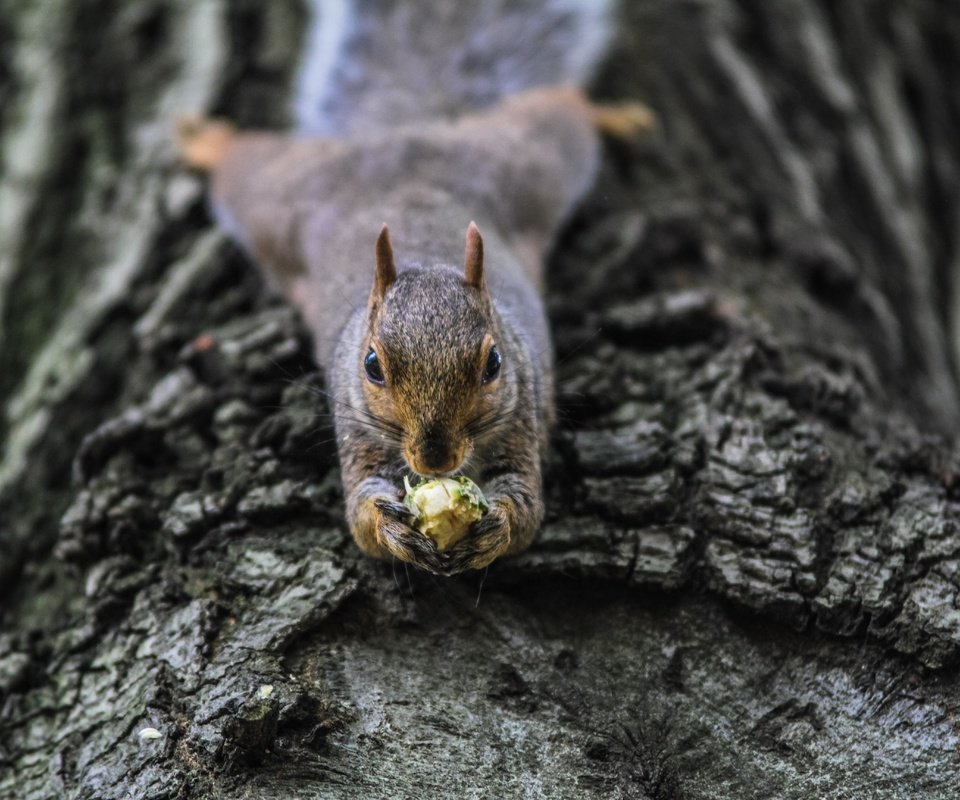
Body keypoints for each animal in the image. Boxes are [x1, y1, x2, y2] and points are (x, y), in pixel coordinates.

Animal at [178, 0, 652, 576]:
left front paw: (495, 527)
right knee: (242, 163)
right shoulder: (357, 430)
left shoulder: (521, 417)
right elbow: (361, 517)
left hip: (530, 162)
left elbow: (526, 509)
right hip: (278, 199)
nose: (435, 460)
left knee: (562, 108)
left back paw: (616, 116)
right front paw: (390, 527)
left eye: (494, 364)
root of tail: (406, 134)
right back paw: (206, 140)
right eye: (372, 366)